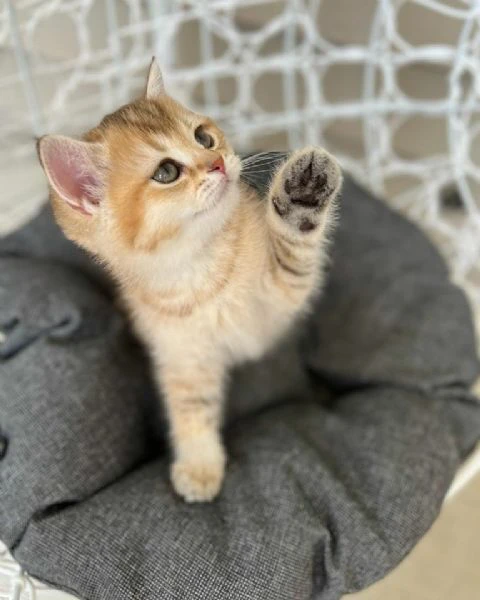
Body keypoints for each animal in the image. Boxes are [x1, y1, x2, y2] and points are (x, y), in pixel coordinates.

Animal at [38, 59, 342, 502]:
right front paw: (200, 465)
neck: (201, 270)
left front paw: (302, 194)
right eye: (166, 172)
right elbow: (191, 407)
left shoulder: (276, 305)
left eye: (203, 136)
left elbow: (293, 254)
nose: (218, 162)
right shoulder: (182, 354)